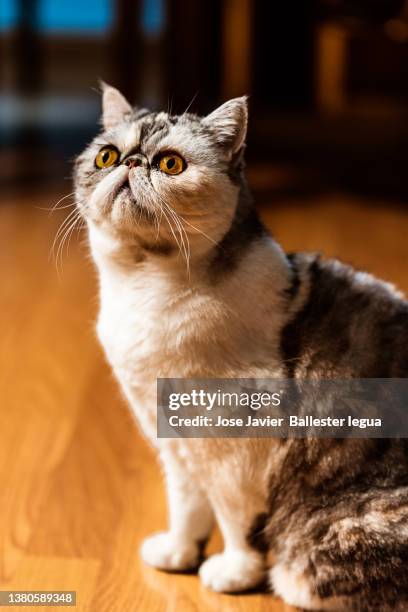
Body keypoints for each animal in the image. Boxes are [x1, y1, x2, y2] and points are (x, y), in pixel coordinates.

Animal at [74, 83, 408, 608]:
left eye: (170, 164)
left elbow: (233, 522)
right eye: (106, 155)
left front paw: (231, 572)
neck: (143, 289)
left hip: (311, 557)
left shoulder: (235, 457)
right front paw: (178, 552)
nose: (130, 162)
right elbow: (186, 505)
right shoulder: (175, 446)